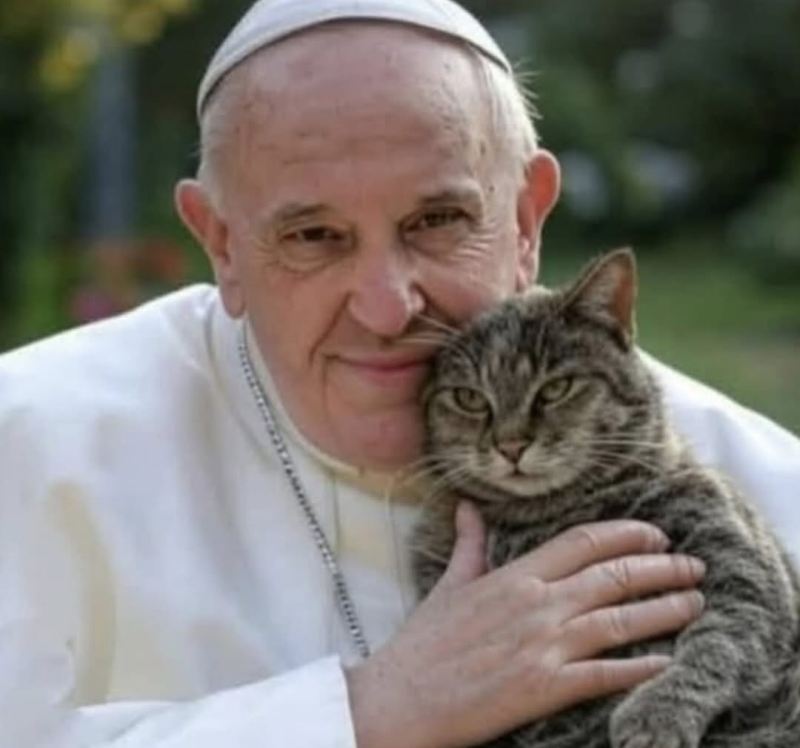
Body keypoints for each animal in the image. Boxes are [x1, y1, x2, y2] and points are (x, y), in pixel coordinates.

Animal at [410, 249, 800, 748]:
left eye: (556, 388)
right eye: (469, 399)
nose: (510, 445)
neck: (563, 512)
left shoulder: (742, 572)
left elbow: (713, 648)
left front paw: (656, 715)